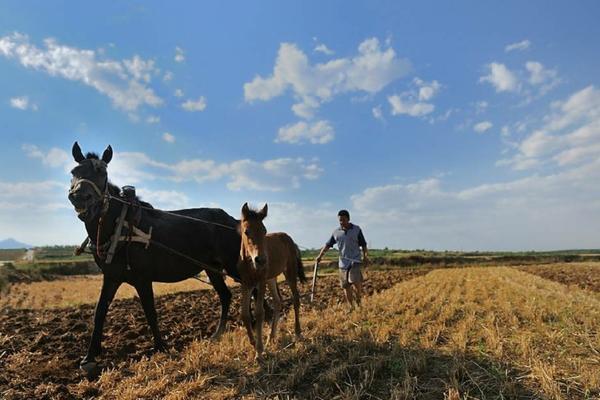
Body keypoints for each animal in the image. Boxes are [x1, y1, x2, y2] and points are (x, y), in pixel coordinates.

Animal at [67, 142, 241, 370]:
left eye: (102, 173)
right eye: (74, 172)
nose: (79, 197)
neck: (120, 227)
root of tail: (233, 220)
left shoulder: (142, 278)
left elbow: (150, 312)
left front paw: (160, 347)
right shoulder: (111, 277)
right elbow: (99, 311)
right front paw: (89, 356)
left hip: (233, 263)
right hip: (212, 268)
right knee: (227, 295)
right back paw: (219, 333)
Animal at [238, 203, 308, 360]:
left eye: (264, 231)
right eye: (246, 231)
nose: (261, 260)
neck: (249, 264)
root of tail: (290, 239)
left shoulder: (261, 282)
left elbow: (259, 312)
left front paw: (259, 351)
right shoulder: (246, 284)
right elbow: (245, 314)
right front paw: (253, 343)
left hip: (289, 272)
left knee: (295, 299)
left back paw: (297, 333)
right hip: (272, 278)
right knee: (277, 301)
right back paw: (271, 337)